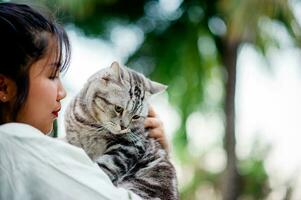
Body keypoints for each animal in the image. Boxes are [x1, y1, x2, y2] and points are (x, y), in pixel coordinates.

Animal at [63, 61, 178, 199]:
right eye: (118, 109)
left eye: (136, 116)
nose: (124, 127)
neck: (90, 124)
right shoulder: (73, 141)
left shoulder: (129, 147)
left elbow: (105, 167)